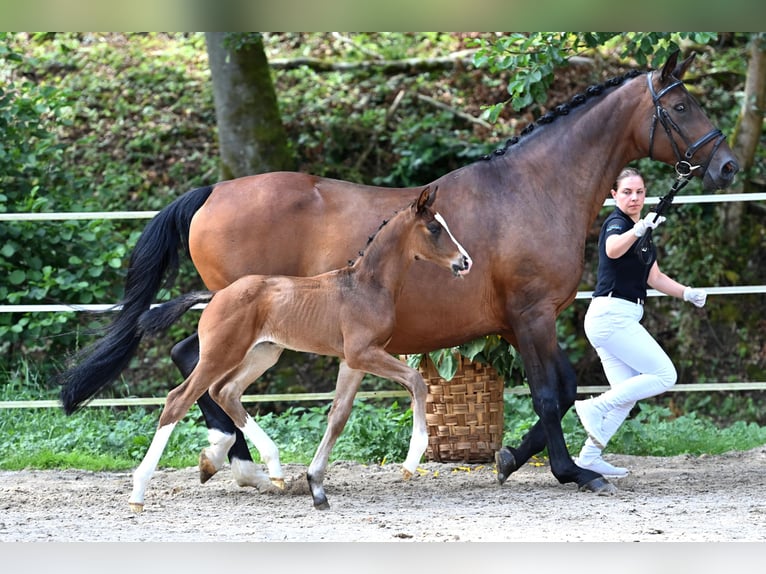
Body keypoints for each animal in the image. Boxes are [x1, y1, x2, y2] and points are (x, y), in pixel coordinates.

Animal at [129, 186, 472, 512]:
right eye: (434, 228)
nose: (465, 261)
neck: (366, 287)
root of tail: (217, 295)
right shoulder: (363, 353)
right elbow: (415, 381)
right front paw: (410, 463)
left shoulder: (352, 361)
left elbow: (338, 415)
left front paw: (317, 489)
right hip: (221, 353)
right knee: (179, 399)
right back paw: (138, 492)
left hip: (264, 353)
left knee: (224, 391)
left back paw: (273, 469)